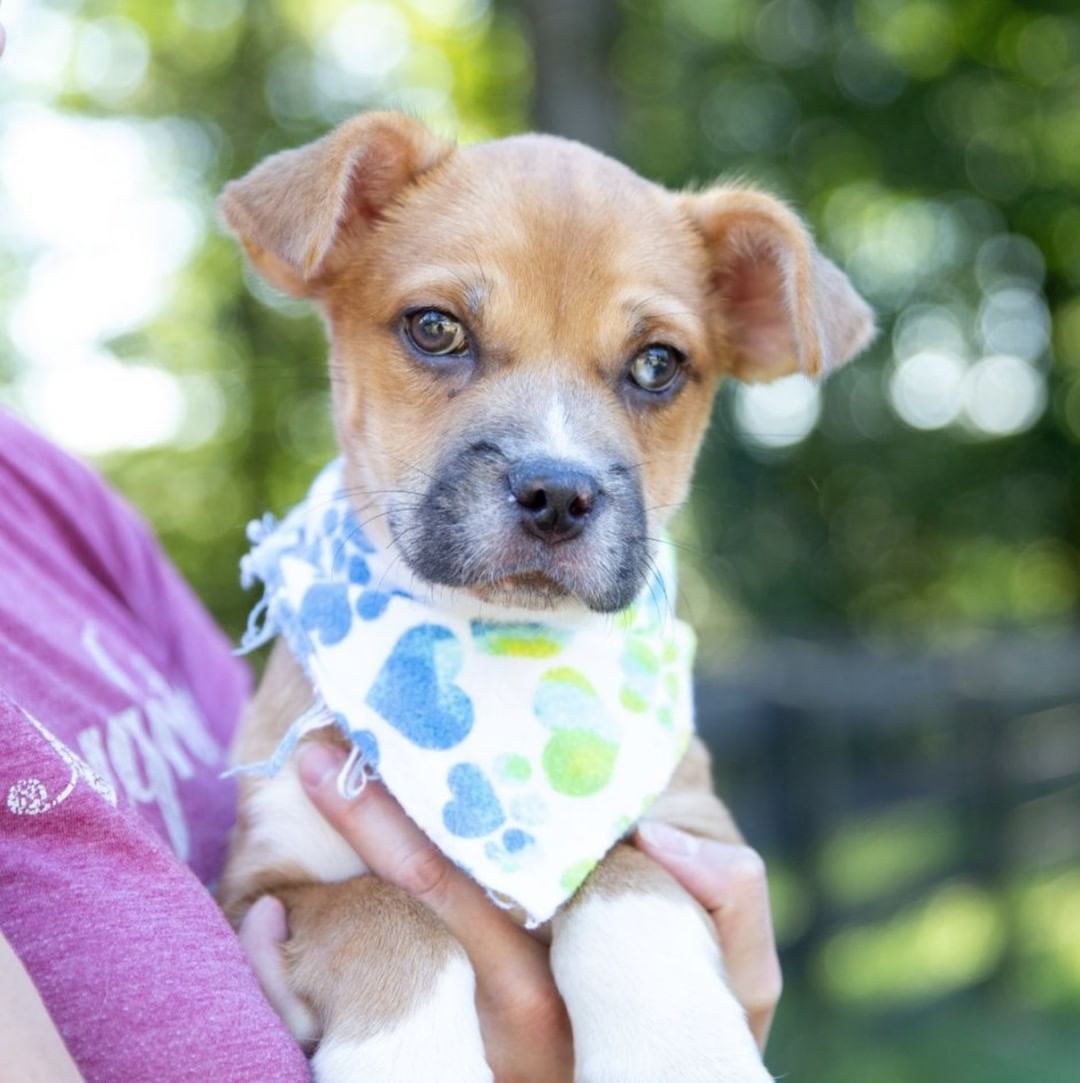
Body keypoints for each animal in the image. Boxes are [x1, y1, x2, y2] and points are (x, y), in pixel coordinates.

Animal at [214, 112, 870, 1083]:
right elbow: (383, 910)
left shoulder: (691, 829)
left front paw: (683, 1049)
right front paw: (410, 1056)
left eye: (658, 364)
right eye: (436, 328)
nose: (558, 493)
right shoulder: (257, 885)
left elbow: (621, 875)